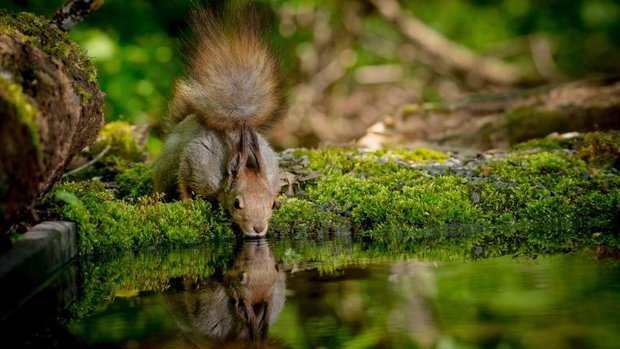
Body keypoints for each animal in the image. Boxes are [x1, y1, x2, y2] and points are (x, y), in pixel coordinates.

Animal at [153, 4, 286, 237]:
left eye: (270, 204)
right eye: (236, 203)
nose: (258, 228)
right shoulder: (194, 162)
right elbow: (183, 181)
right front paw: (187, 202)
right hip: (166, 164)